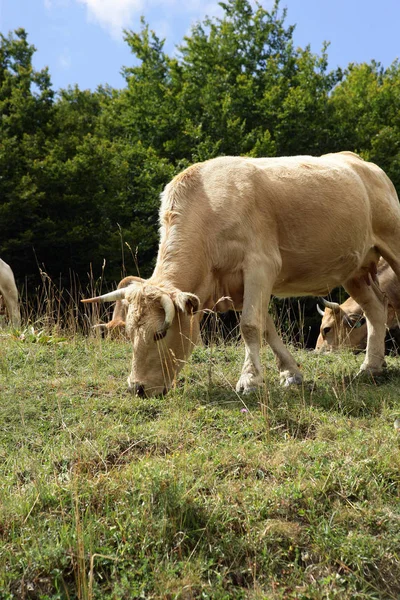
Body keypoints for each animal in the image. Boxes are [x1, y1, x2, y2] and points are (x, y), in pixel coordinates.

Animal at [82, 152, 400, 396]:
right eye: (128, 332)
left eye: (160, 332)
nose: (137, 388)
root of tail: (362, 163)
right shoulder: (235, 285)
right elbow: (266, 326)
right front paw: (291, 373)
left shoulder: (261, 265)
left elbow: (249, 325)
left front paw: (249, 381)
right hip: (355, 269)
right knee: (375, 308)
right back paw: (371, 367)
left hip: (392, 239)